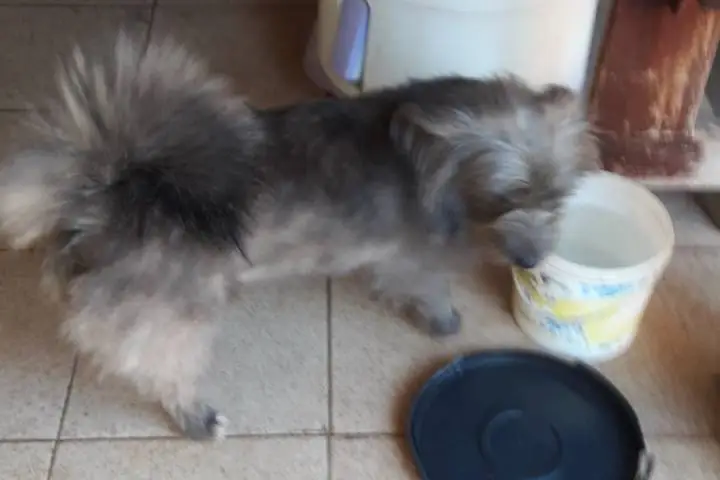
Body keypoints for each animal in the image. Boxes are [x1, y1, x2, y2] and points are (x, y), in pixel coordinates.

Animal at [0, 33, 598, 439]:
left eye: (559, 197)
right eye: (506, 197)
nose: (531, 260)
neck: (440, 154)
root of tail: (105, 193)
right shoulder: (417, 257)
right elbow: (428, 287)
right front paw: (443, 320)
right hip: (176, 311)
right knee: (157, 364)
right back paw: (196, 417)